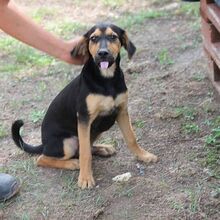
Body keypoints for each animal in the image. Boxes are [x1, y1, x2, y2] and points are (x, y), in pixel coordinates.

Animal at [11, 22, 158, 189]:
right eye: (93, 38)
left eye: (113, 37)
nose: (102, 53)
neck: (107, 80)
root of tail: (44, 144)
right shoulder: (84, 118)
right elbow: (85, 153)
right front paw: (85, 178)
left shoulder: (121, 111)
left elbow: (131, 138)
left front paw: (144, 156)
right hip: (67, 142)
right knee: (43, 158)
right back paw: (72, 163)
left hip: (99, 127)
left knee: (84, 146)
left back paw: (103, 148)